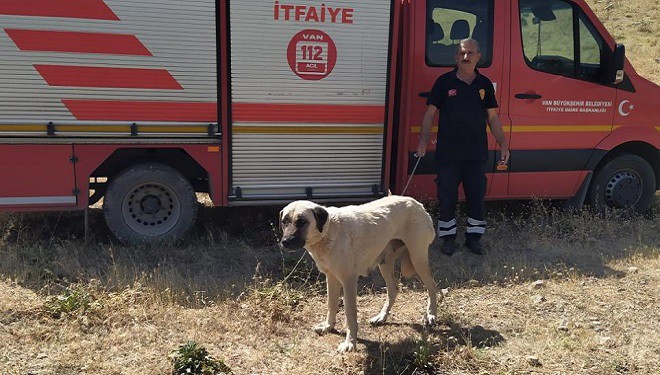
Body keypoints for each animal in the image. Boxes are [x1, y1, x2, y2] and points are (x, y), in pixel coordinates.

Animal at [278, 195, 438, 354]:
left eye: (302, 222)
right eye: (284, 221)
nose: (285, 242)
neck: (328, 231)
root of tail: (417, 203)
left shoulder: (348, 281)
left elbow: (350, 314)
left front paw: (350, 343)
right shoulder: (331, 278)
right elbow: (331, 304)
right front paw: (328, 326)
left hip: (417, 258)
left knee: (432, 285)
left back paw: (431, 314)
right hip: (385, 263)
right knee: (393, 289)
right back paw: (381, 317)